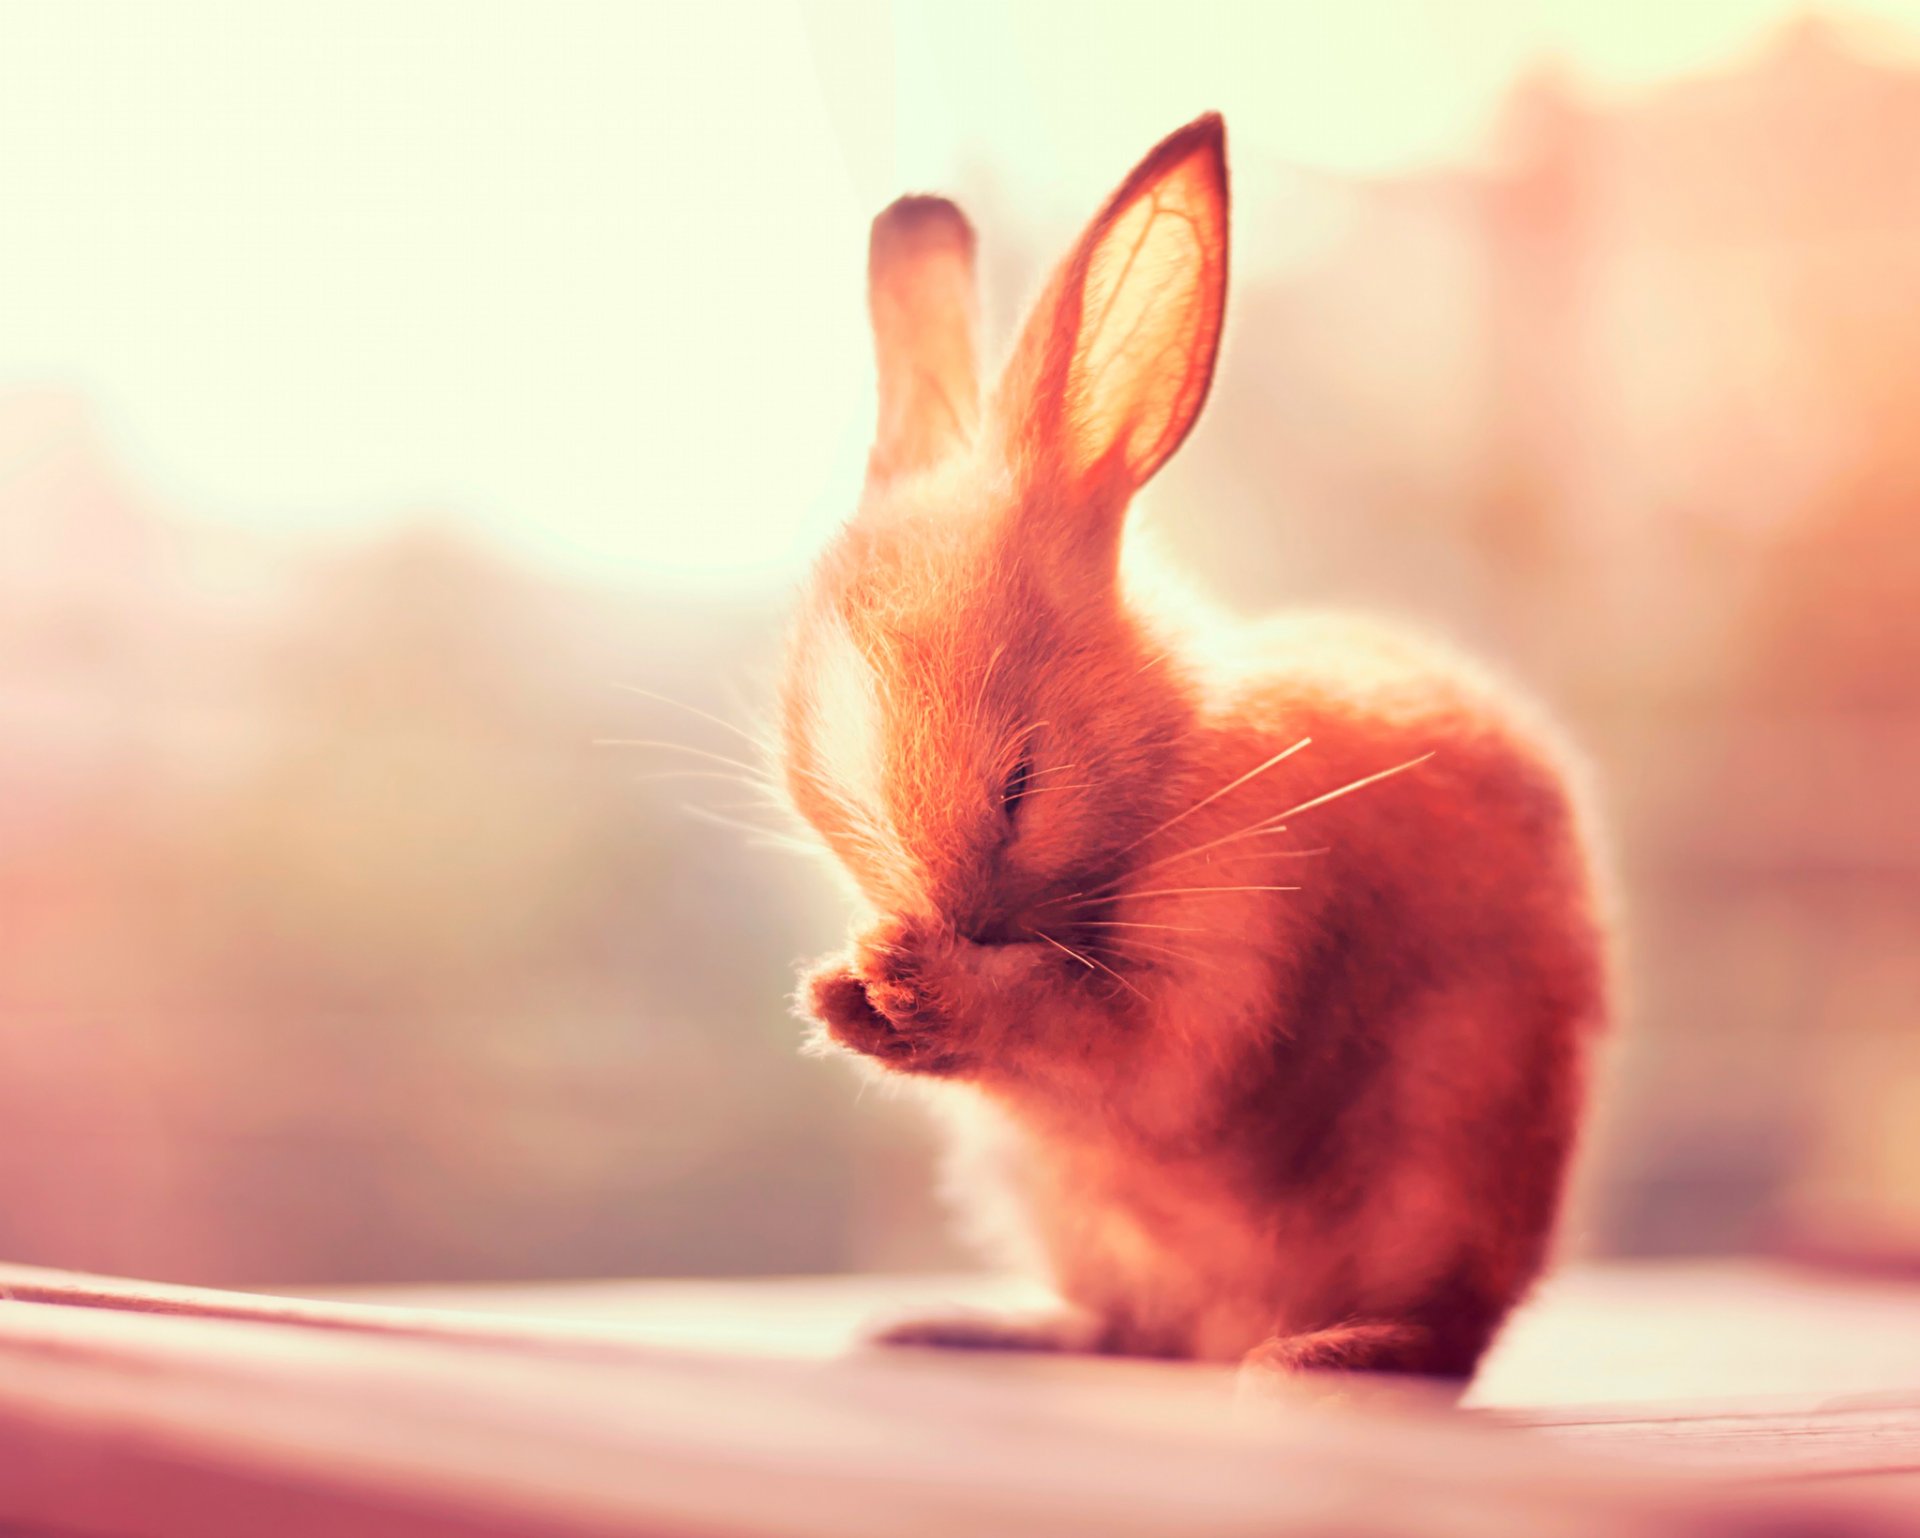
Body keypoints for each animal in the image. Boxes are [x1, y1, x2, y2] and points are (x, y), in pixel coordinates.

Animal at [782, 113, 1609, 1389]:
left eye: (1021, 783)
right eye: (822, 808)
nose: (949, 921)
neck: (1163, 764)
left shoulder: (1219, 972)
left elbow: (1126, 1059)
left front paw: (911, 978)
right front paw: (845, 991)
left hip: (1451, 1158)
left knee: (1449, 1334)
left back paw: (1326, 1350)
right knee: (1133, 1331)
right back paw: (959, 1326)